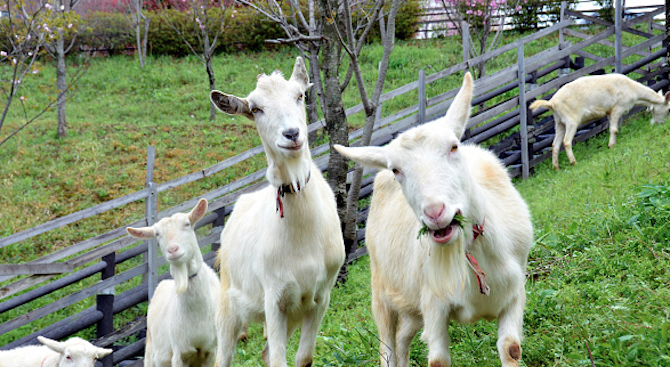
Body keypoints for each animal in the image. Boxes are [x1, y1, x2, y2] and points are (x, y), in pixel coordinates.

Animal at [126, 198, 220, 367]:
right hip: (152, 353)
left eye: (187, 224)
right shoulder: (180, 353)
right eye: (157, 234)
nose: (173, 250)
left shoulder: (212, 350)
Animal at [210, 56, 346, 367]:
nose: (292, 134)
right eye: (256, 109)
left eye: (300, 96)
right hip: (228, 302)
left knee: (265, 353)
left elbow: (303, 358)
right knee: (224, 355)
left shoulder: (321, 295)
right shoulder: (274, 299)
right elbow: (279, 361)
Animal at [336, 72, 536, 367]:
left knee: (402, 338)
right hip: (381, 290)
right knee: (387, 346)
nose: (434, 212)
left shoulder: (514, 291)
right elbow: (438, 360)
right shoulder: (434, 303)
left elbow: (511, 348)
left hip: (411, 304)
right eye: (396, 169)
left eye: (453, 147)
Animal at [532, 73, 670, 171]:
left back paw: (556, 167)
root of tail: (552, 102)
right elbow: (614, 129)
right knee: (566, 141)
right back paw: (573, 162)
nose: (662, 124)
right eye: (668, 109)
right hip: (571, 120)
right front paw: (611, 145)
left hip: (559, 122)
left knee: (555, 144)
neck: (633, 90)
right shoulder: (617, 108)